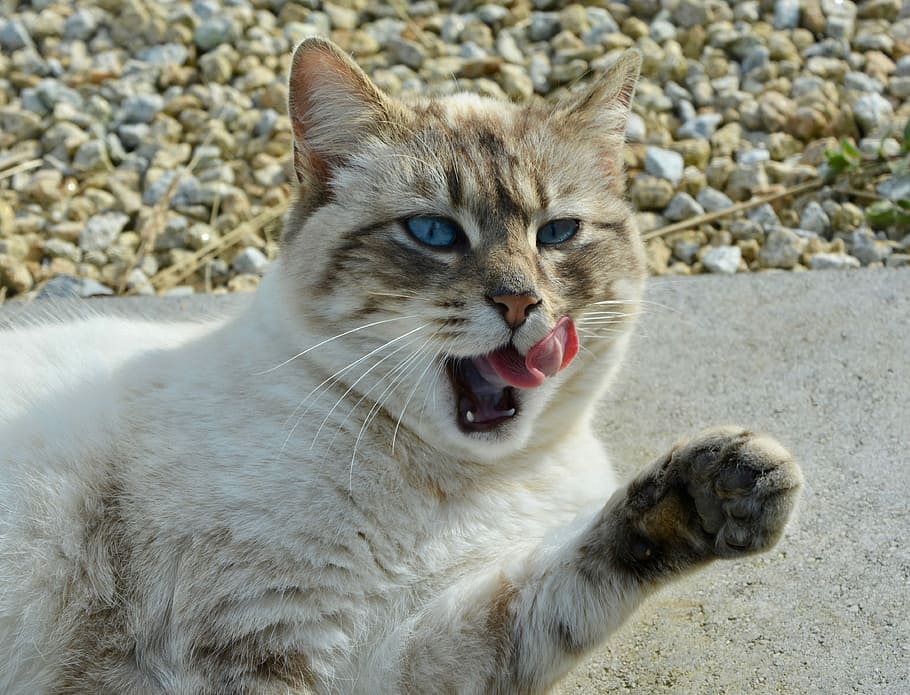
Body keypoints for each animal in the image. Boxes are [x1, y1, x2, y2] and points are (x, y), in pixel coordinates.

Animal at [0, 39, 804, 695]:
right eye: (434, 232)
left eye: (558, 233)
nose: (521, 302)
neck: (458, 483)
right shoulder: (256, 646)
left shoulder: (389, 654)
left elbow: (553, 590)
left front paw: (718, 490)